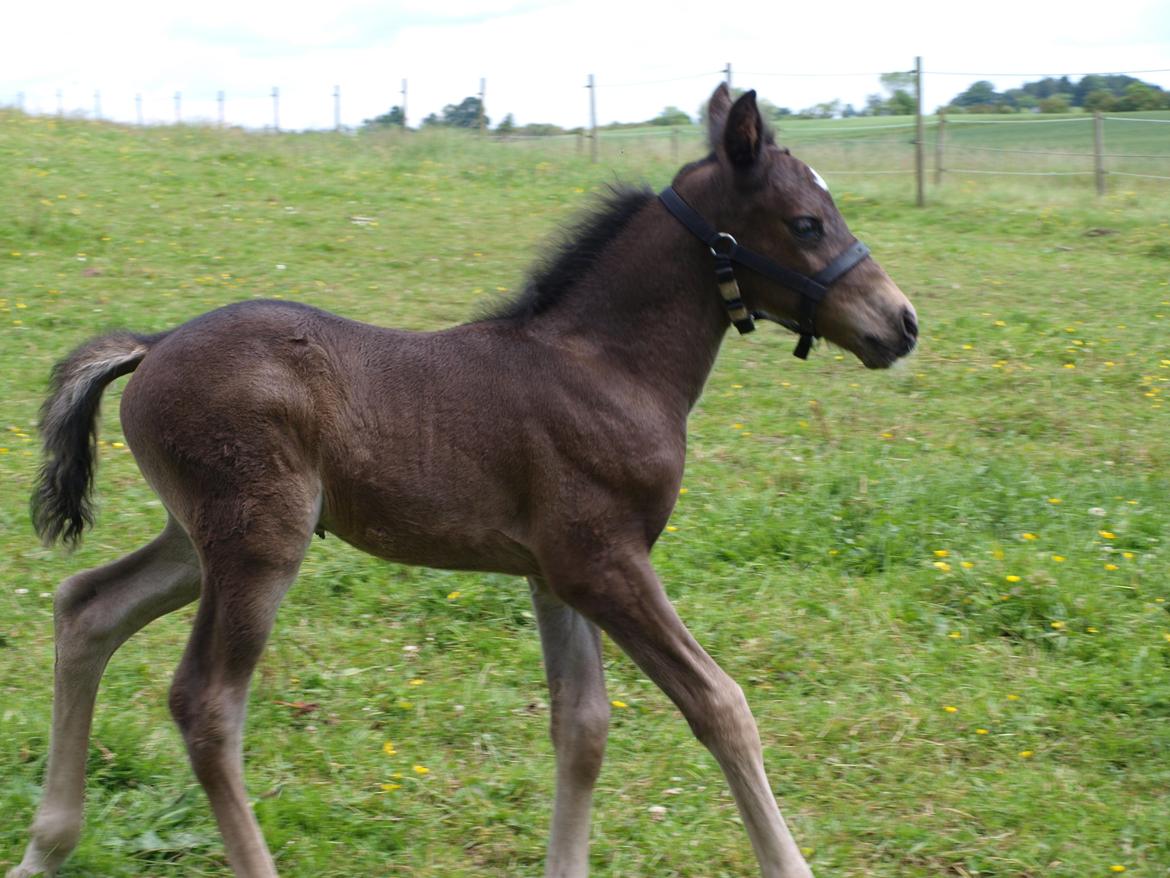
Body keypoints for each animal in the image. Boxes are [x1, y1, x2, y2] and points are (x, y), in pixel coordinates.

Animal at [11, 84, 912, 878]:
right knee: (205, 702)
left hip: (201, 536)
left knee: (88, 607)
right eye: (806, 222)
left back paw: (45, 846)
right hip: (258, 540)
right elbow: (720, 705)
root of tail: (153, 344)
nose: (900, 323)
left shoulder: (557, 575)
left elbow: (583, 727)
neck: (609, 366)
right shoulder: (605, 562)